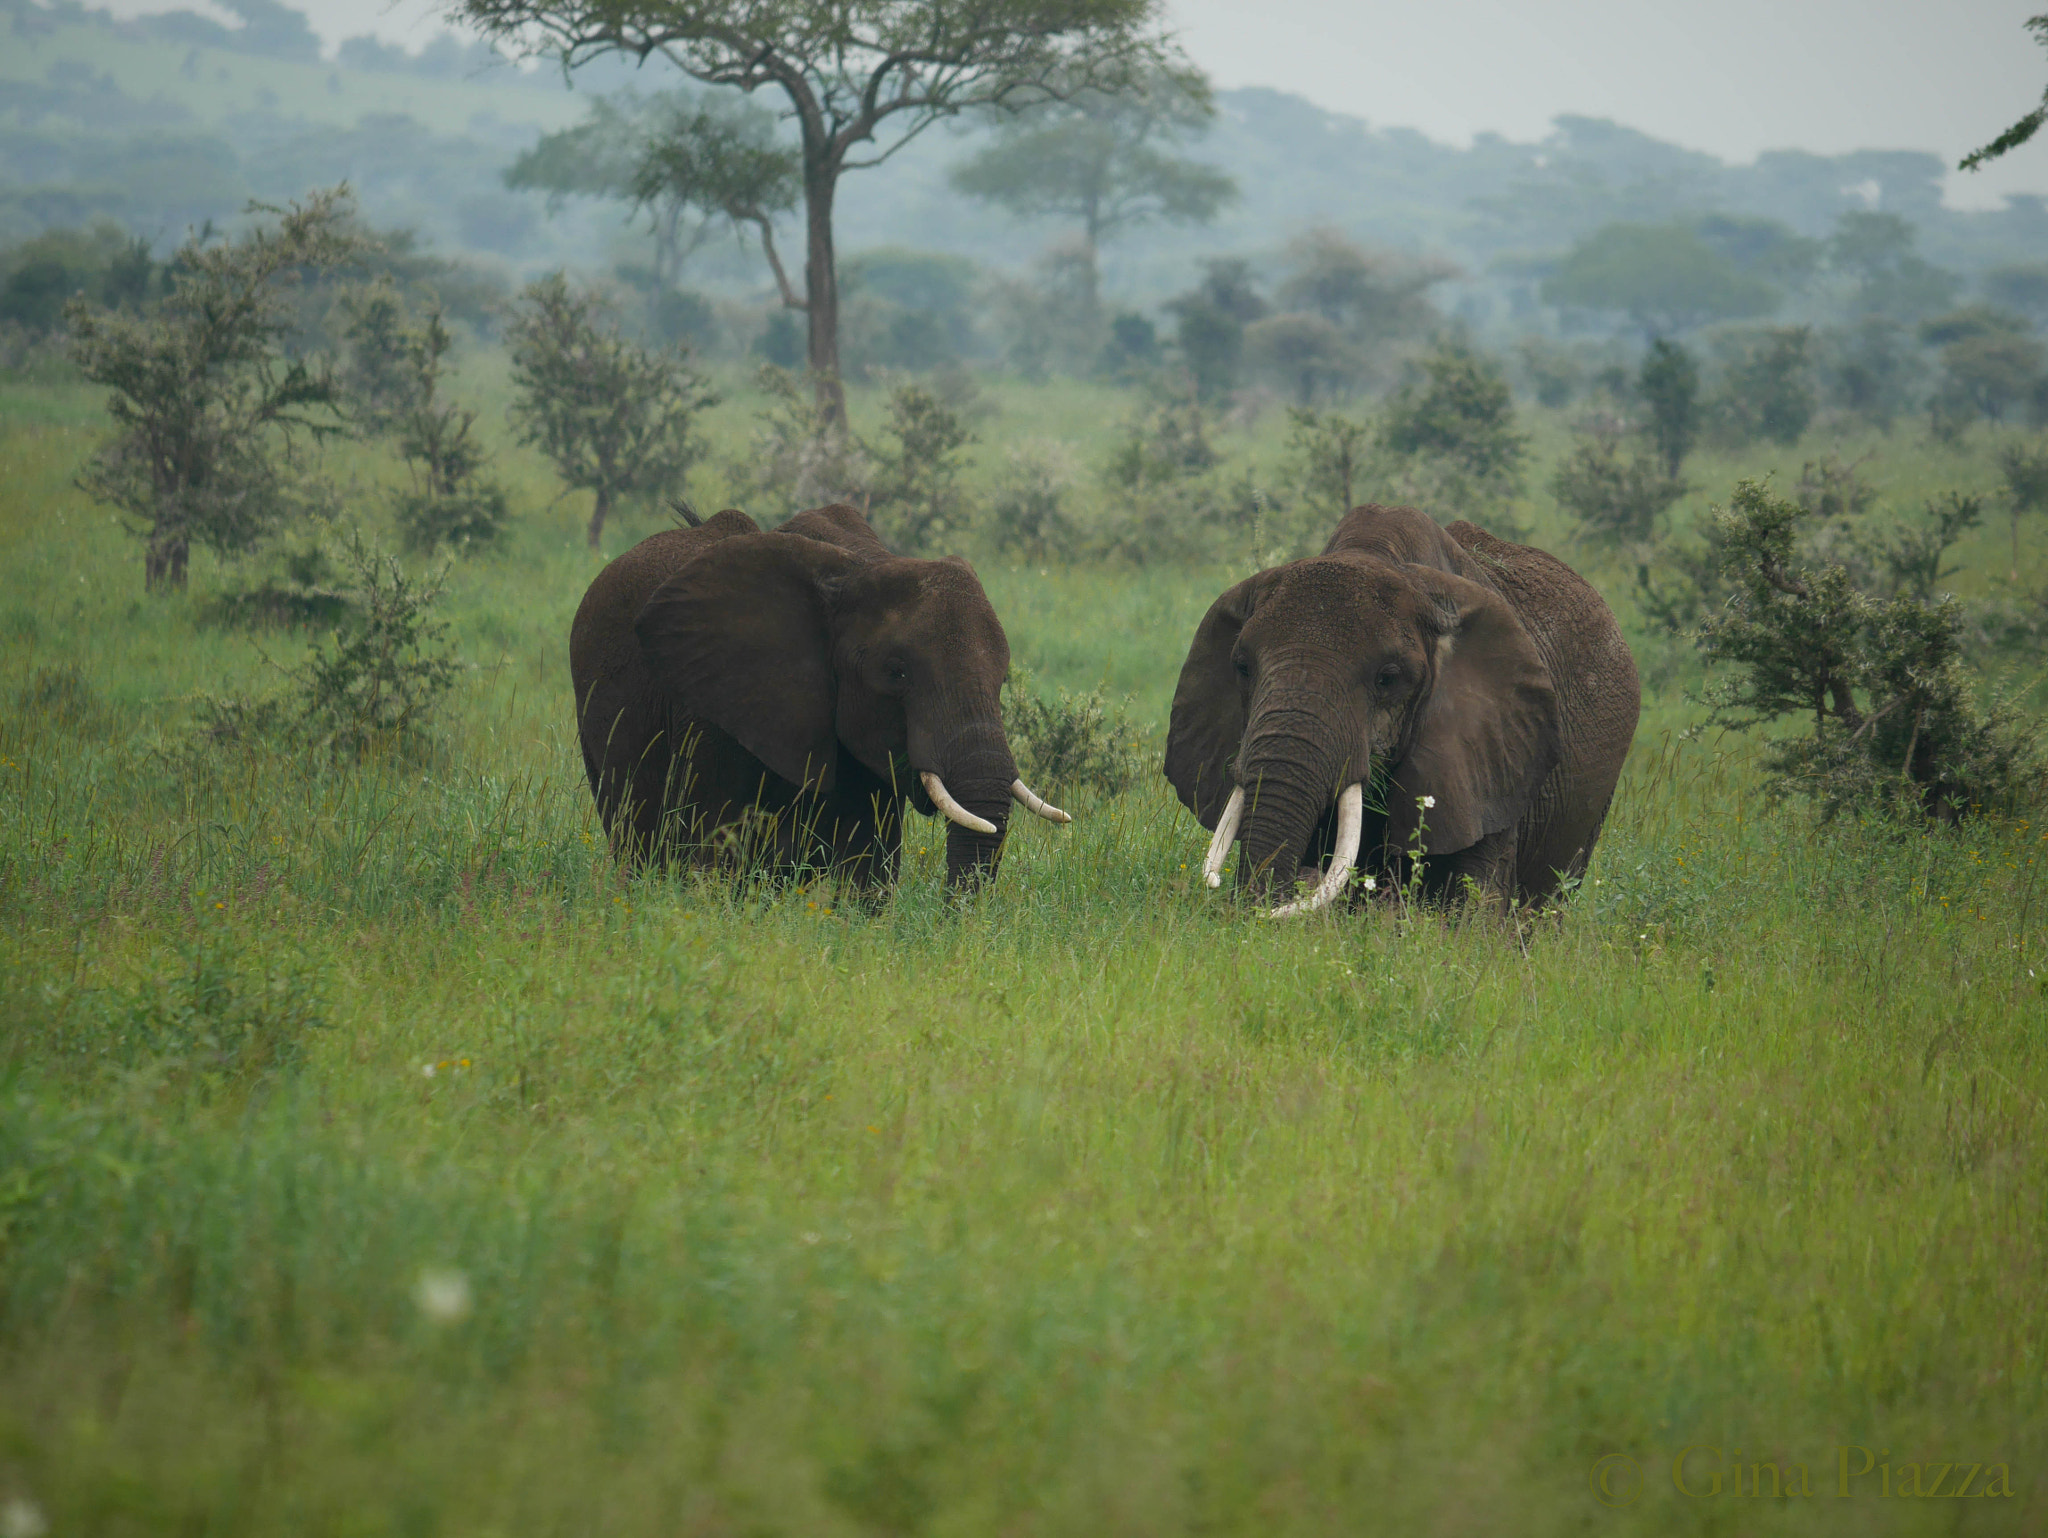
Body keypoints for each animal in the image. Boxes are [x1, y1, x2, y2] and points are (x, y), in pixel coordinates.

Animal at [569, 505, 1064, 888]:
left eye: (1003, 681)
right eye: (897, 673)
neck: (859, 567)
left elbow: (868, 871)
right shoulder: (713, 710)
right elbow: (711, 854)